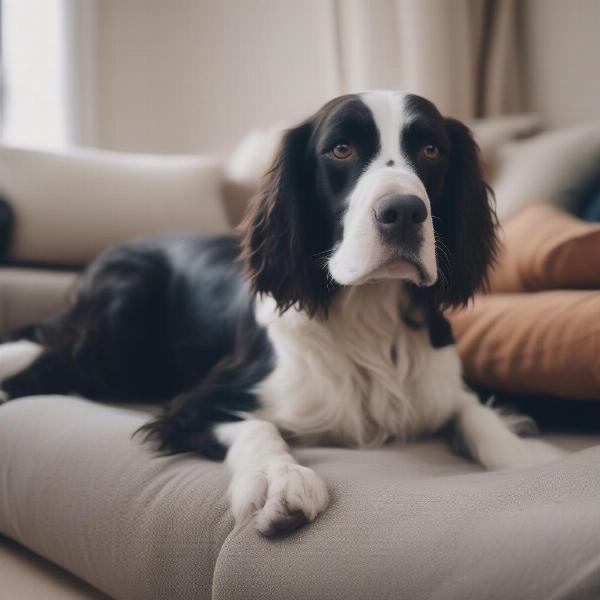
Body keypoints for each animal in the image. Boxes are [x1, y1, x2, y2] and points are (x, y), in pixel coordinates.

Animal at [0, 92, 564, 536]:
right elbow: (256, 426)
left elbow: (474, 414)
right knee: (47, 365)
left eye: (431, 149)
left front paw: (527, 457)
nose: (403, 212)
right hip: (122, 311)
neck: (367, 315)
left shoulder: (439, 384)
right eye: (341, 148)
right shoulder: (195, 404)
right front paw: (280, 481)